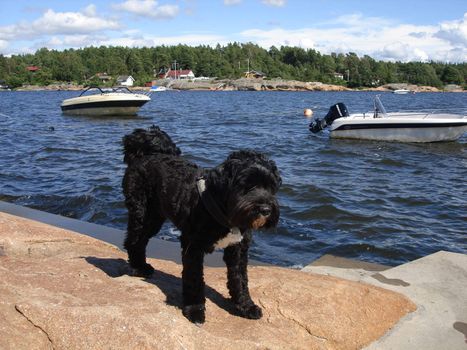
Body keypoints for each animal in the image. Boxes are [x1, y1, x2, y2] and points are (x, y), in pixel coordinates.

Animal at [121, 125, 282, 322]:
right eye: (247, 185)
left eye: (271, 186)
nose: (266, 209)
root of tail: (143, 155)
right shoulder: (193, 246)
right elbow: (194, 278)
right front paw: (195, 309)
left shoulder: (238, 248)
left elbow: (240, 279)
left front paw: (246, 306)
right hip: (143, 214)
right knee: (134, 240)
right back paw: (139, 268)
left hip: (154, 217)